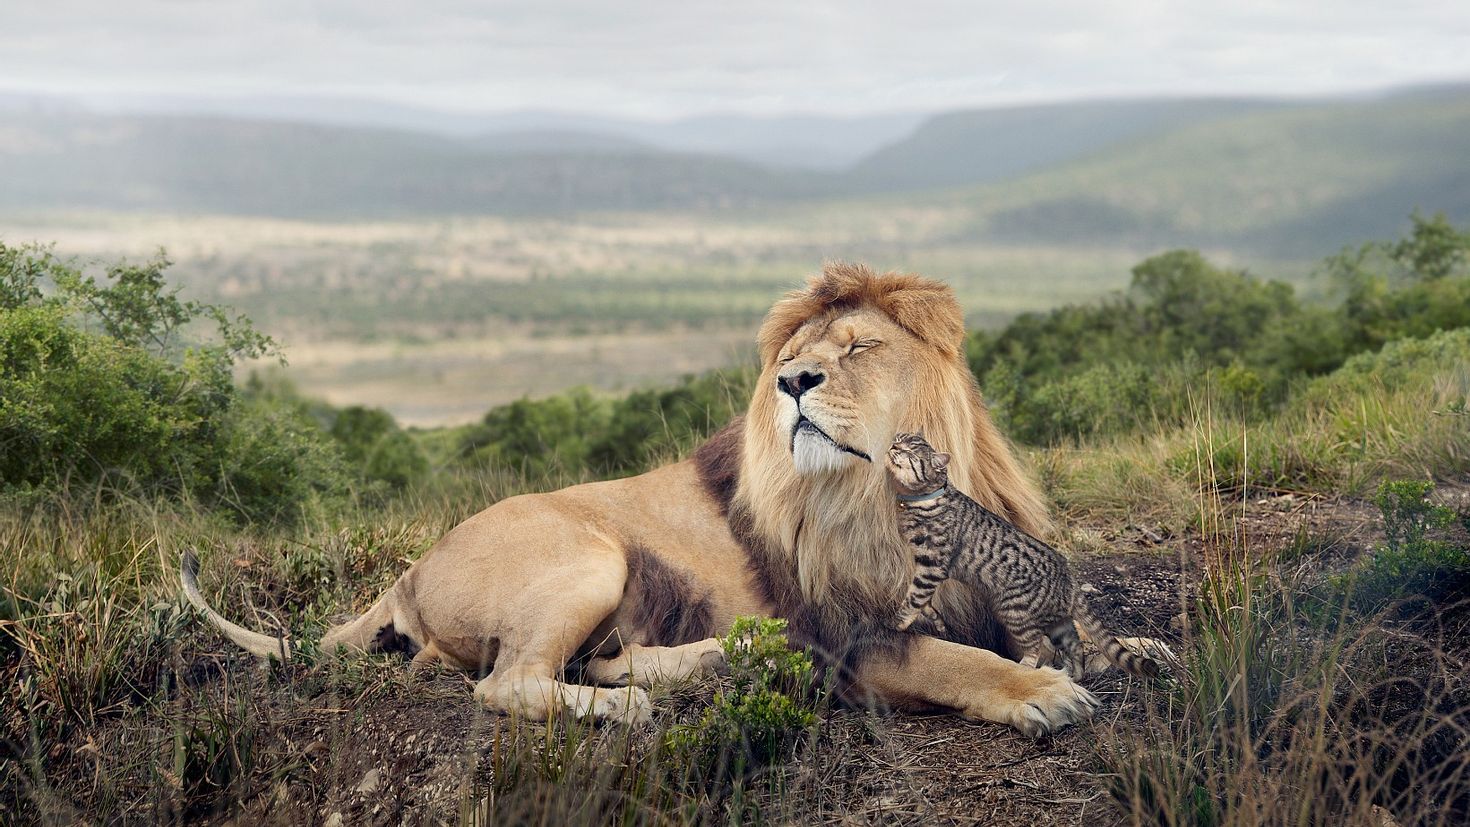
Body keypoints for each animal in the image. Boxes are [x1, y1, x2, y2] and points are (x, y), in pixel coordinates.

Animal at [180, 261, 1105, 734]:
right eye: (795, 357)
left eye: (858, 347)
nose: (791, 382)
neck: (878, 492)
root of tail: (408, 571)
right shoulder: (848, 638)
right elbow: (951, 658)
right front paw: (1040, 691)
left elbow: (1076, 626)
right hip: (590, 555)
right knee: (508, 682)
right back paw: (626, 705)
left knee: (583, 659)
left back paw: (714, 659)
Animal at [882, 434, 1158, 678]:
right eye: (899, 438)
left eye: (910, 451)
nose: (893, 445)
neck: (923, 500)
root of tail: (1068, 576)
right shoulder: (923, 567)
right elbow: (923, 601)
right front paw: (934, 620)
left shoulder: (932, 566)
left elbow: (913, 599)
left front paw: (896, 623)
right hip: (1058, 625)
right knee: (1076, 645)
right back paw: (1075, 675)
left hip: (1015, 613)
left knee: (1035, 646)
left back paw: (1025, 667)